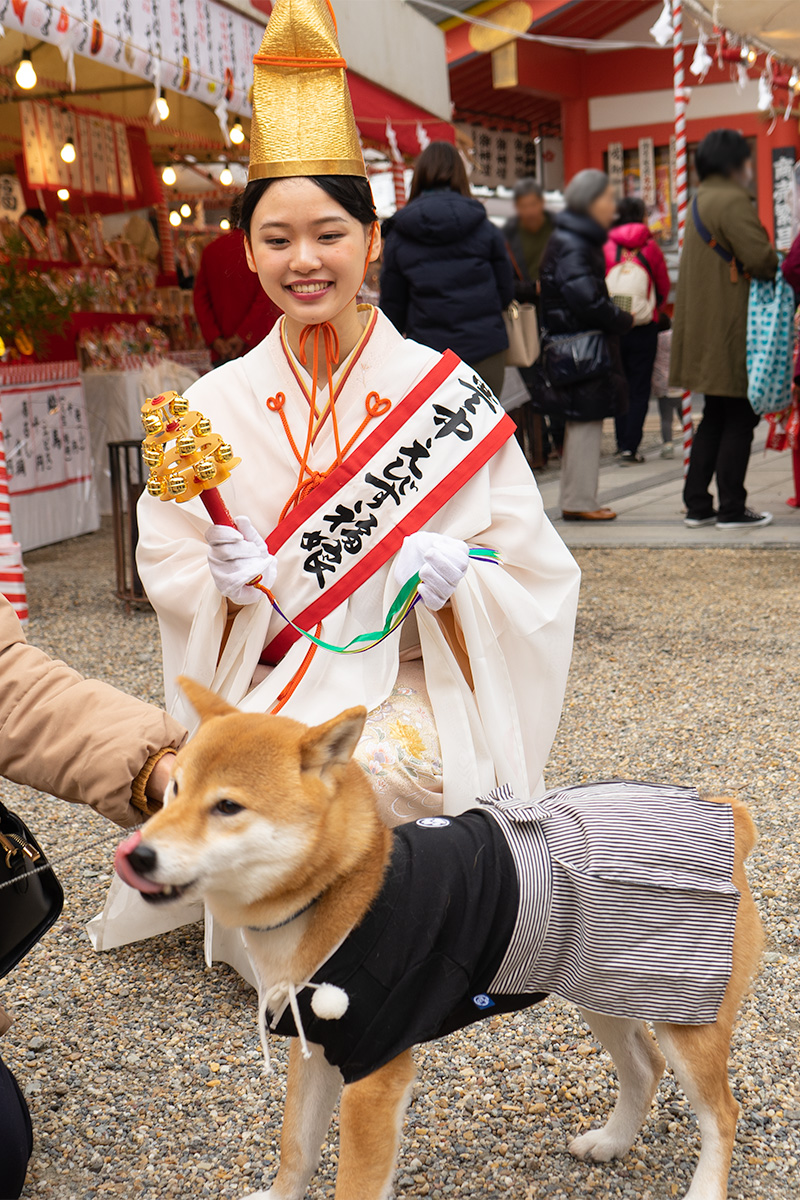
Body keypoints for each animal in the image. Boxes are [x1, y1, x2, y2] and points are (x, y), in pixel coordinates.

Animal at [113, 681, 762, 1200]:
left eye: (227, 806)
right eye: (172, 792)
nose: (136, 855)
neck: (337, 894)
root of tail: (726, 813)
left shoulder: (375, 1070)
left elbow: (353, 1182)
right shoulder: (316, 1044)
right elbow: (295, 1148)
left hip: (682, 1013)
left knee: (722, 1113)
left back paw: (702, 1188)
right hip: (600, 987)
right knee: (645, 1068)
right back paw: (612, 1141)